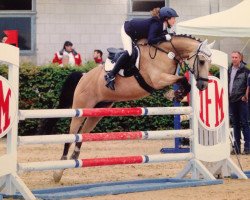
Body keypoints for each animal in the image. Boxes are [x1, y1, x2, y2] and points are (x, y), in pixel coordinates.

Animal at [53, 35, 214, 182]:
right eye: (201, 61)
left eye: (210, 62)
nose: (203, 85)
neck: (167, 53)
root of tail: (84, 75)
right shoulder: (158, 79)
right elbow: (182, 79)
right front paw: (173, 94)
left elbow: (184, 82)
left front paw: (176, 94)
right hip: (81, 108)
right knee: (71, 135)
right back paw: (59, 171)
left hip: (97, 112)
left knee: (82, 133)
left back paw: (75, 157)